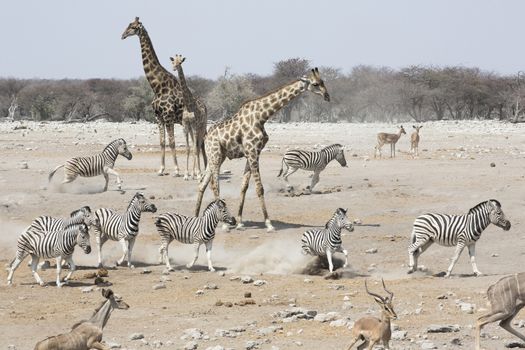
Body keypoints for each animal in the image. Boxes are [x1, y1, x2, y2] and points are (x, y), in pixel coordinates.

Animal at [194, 68, 330, 232]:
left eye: (323, 81)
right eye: (316, 84)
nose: (327, 96)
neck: (262, 116)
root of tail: (206, 137)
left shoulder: (251, 153)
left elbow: (244, 187)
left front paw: (240, 222)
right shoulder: (252, 151)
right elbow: (259, 188)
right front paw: (269, 223)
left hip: (217, 157)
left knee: (202, 184)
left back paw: (195, 217)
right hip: (215, 154)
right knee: (215, 185)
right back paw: (224, 224)